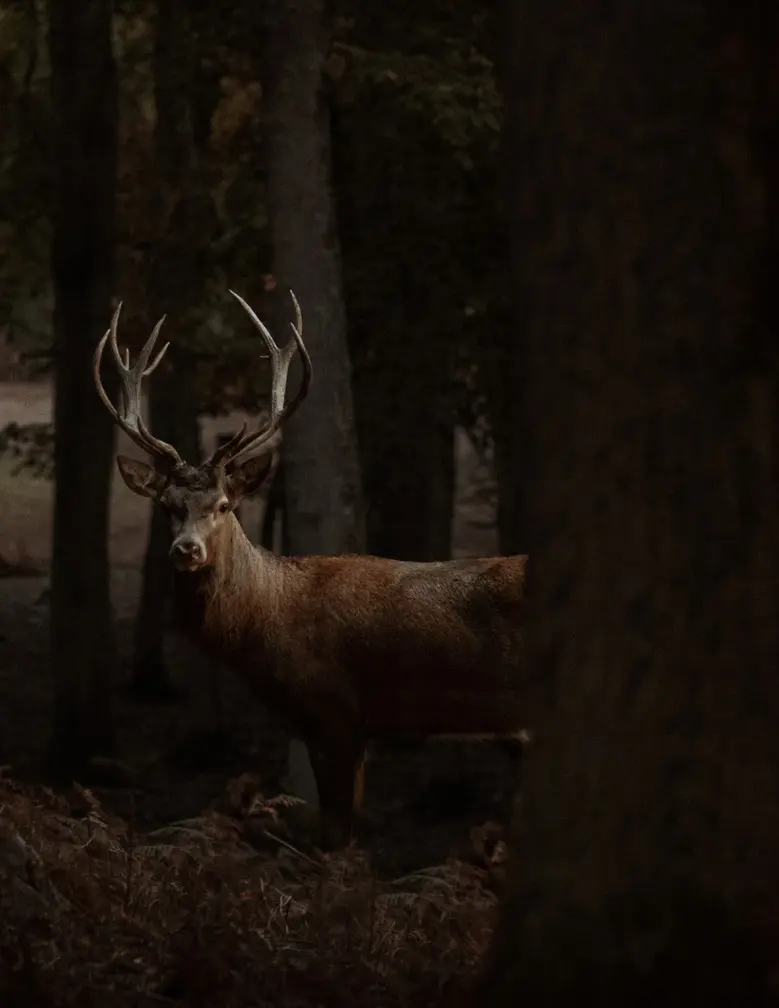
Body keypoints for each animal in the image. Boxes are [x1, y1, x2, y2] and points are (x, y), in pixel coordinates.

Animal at [93, 289, 528, 850]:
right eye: (167, 505)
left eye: (224, 504)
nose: (186, 550)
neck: (271, 624)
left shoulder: (337, 713)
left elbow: (336, 834)